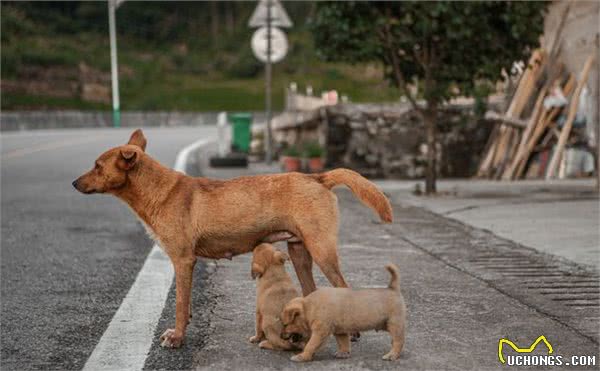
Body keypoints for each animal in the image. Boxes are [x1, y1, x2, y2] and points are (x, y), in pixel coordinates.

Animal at [72, 130, 394, 348]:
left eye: (98, 166)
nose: (74, 183)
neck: (158, 190)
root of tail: (318, 178)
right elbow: (186, 304)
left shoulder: (183, 260)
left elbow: (179, 305)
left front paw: (177, 337)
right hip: (300, 253)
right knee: (311, 290)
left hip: (322, 251)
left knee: (343, 286)